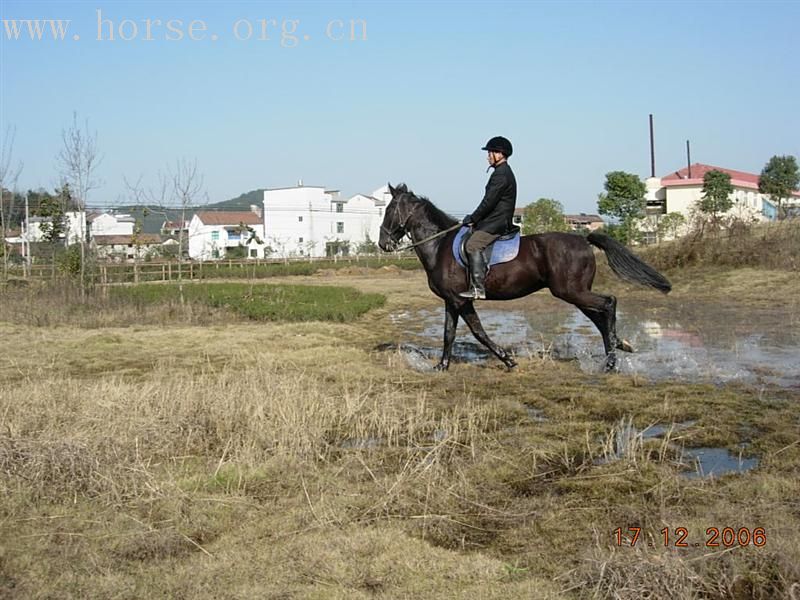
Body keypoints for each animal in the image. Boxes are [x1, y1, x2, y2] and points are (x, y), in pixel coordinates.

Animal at [378, 183, 672, 372]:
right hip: (574, 294)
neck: (439, 245)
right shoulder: (452, 301)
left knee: (609, 303)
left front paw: (508, 360)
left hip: (571, 291)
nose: (383, 243)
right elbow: (448, 333)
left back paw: (611, 362)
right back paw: (619, 346)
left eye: (389, 209)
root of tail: (582, 239)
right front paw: (442, 365)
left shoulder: (461, 300)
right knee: (600, 318)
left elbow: (478, 332)